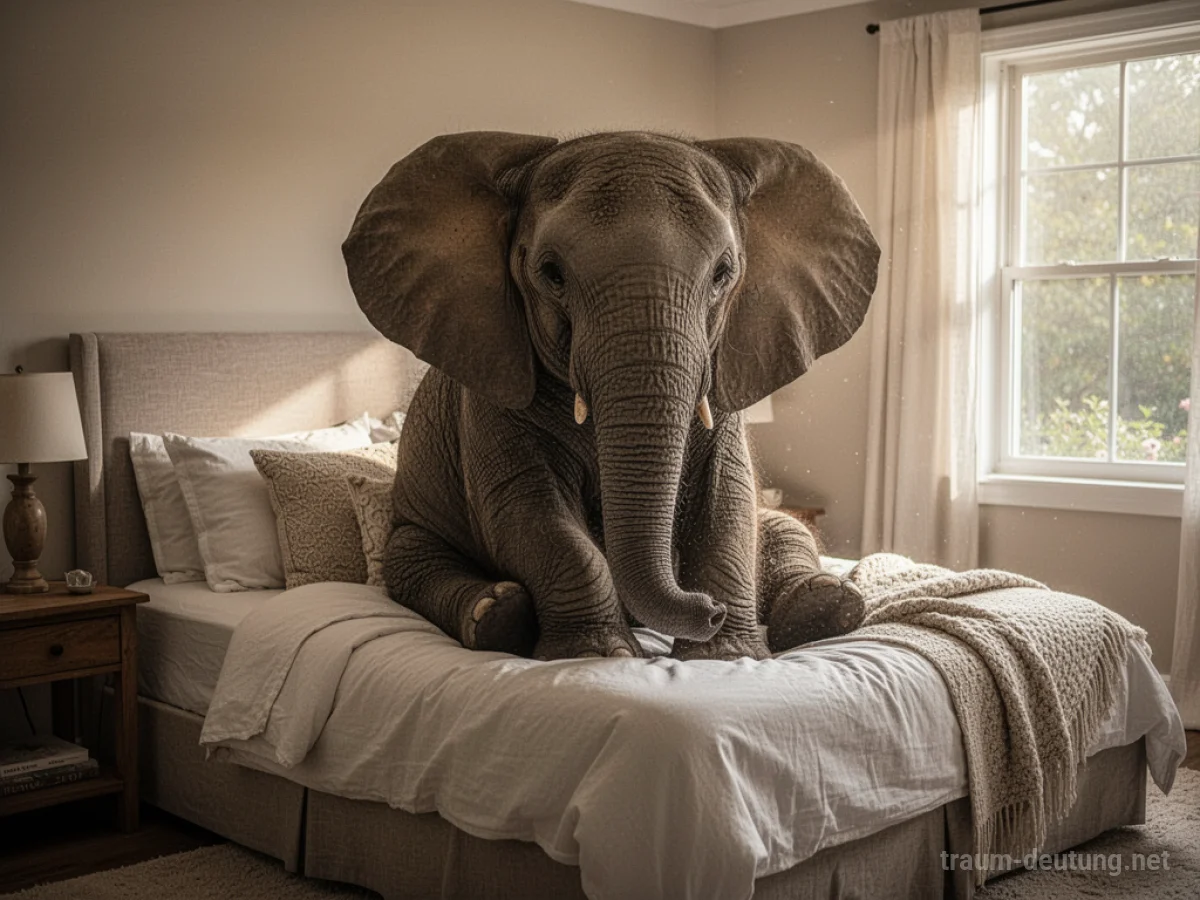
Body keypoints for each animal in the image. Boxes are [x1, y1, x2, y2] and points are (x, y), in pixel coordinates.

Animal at [343, 131, 879, 662]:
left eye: (723, 273)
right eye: (551, 273)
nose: (710, 609)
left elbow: (727, 499)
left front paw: (724, 658)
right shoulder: (489, 386)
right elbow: (529, 510)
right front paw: (599, 656)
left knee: (784, 527)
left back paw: (829, 605)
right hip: (411, 531)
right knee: (409, 560)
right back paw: (496, 615)